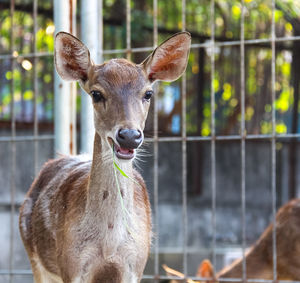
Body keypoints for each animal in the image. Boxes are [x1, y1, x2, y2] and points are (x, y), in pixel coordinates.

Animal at [18, 31, 191, 283]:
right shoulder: (71, 263)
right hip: (34, 257)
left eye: (148, 93)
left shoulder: (136, 264)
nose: (129, 135)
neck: (109, 242)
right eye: (96, 94)